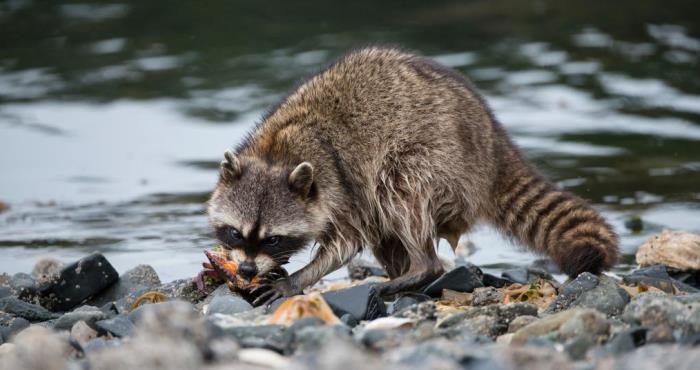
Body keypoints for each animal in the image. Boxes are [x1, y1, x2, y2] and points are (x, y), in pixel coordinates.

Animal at [206, 47, 616, 306]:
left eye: (273, 239)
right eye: (235, 233)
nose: (245, 268)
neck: (276, 154)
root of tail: (494, 144)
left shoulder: (338, 185)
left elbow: (346, 242)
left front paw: (296, 279)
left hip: (441, 162)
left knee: (398, 188)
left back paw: (418, 268)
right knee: (385, 226)